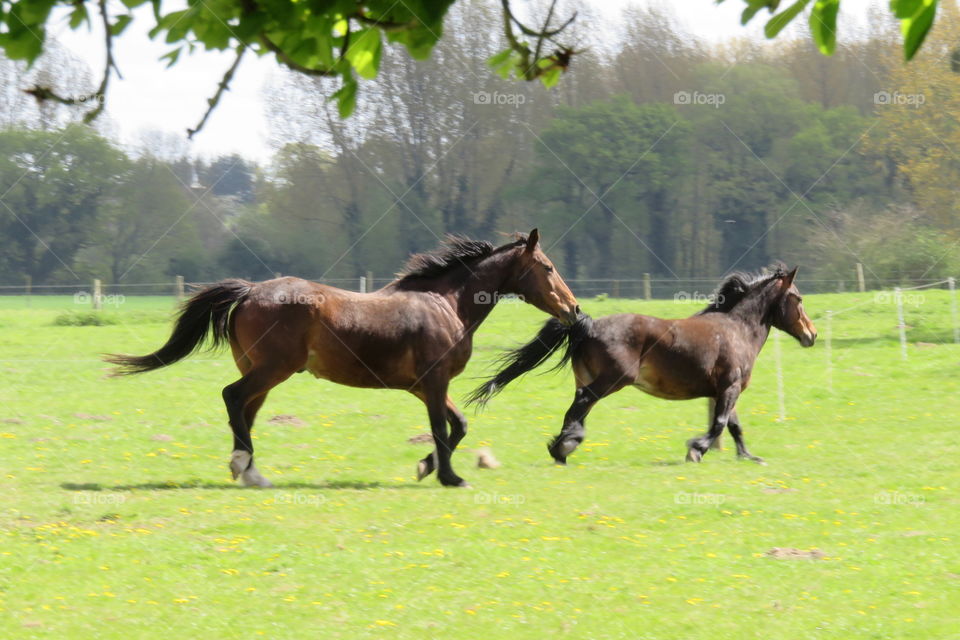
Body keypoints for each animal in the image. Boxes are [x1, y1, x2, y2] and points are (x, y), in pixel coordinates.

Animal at [109, 232, 580, 488]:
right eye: (548, 267)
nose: (574, 309)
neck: (445, 303)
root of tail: (250, 290)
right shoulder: (433, 382)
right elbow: (440, 428)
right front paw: (449, 476)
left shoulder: (427, 386)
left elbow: (458, 425)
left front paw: (426, 467)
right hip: (273, 369)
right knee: (232, 398)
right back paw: (244, 465)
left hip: (261, 373)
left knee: (244, 410)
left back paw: (250, 472)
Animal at [468, 264, 812, 464]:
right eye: (798, 298)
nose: (811, 334)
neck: (736, 329)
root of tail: (588, 325)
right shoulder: (729, 387)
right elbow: (719, 423)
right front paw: (695, 449)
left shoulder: (725, 389)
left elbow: (733, 425)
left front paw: (748, 456)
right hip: (612, 379)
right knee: (581, 404)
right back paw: (562, 448)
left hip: (588, 378)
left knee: (578, 408)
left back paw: (564, 447)